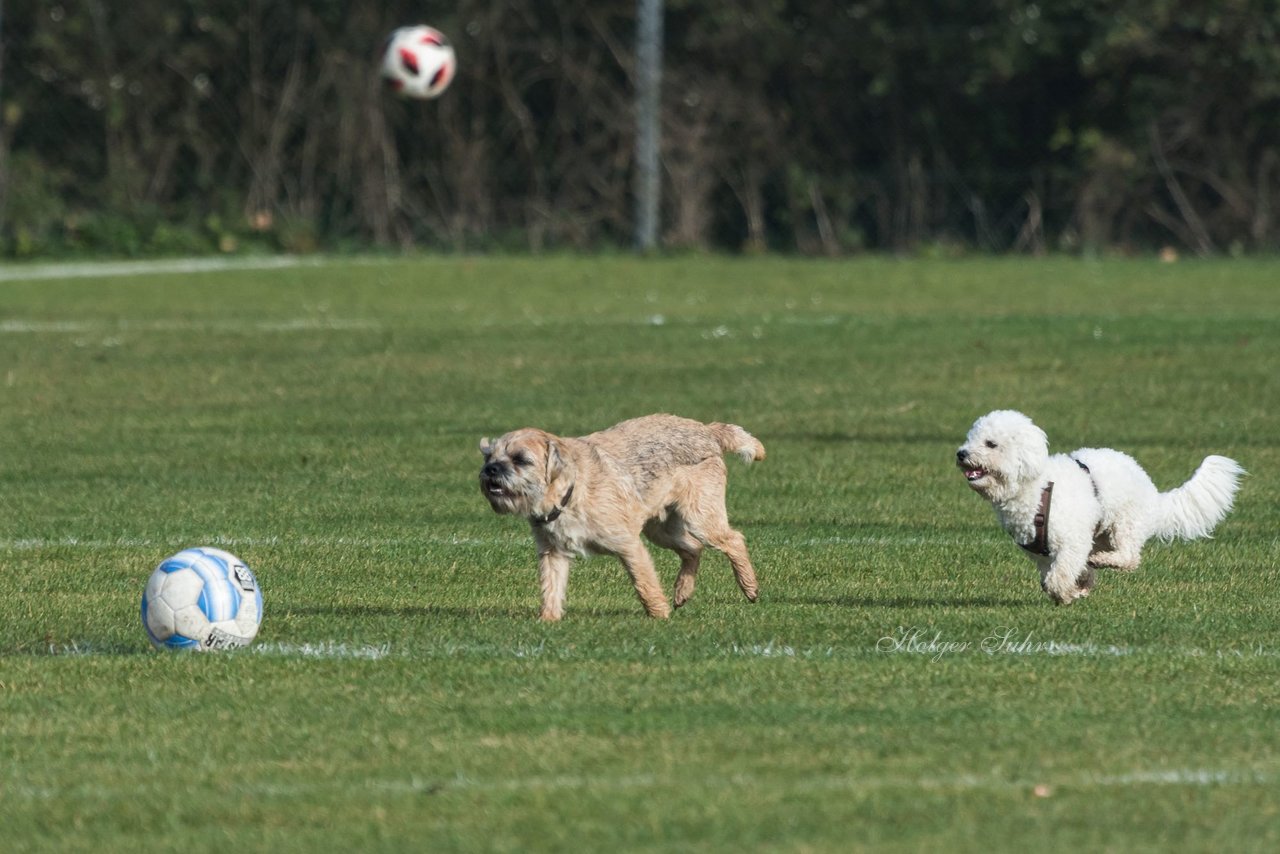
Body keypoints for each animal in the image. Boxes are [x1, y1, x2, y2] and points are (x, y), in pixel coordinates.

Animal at [478, 414, 757, 622]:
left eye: (521, 460)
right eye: (489, 456)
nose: (490, 469)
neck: (570, 491)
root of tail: (708, 430)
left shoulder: (629, 544)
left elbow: (644, 582)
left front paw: (660, 615)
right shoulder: (552, 552)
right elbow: (551, 587)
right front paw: (548, 619)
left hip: (700, 518)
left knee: (733, 540)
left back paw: (749, 587)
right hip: (661, 529)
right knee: (693, 549)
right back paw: (682, 591)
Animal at [962, 409, 1239, 604]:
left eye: (990, 444)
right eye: (969, 439)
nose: (961, 454)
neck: (1037, 487)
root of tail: (1152, 492)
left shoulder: (1071, 542)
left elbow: (1057, 578)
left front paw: (1066, 594)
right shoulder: (1040, 553)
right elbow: (1057, 573)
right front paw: (1080, 586)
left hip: (1125, 524)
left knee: (1129, 558)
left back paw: (1101, 560)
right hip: (1101, 532)